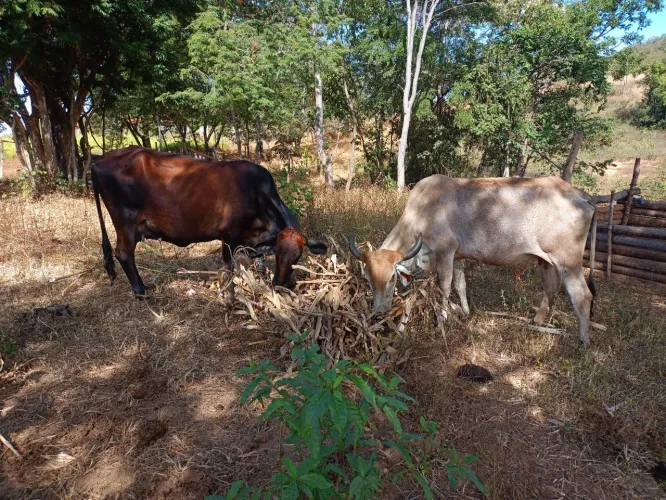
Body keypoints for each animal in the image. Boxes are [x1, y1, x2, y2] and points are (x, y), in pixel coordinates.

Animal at [91, 146, 326, 297]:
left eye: (298, 256)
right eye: (278, 254)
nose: (280, 283)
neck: (257, 193)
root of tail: (100, 160)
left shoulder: (254, 239)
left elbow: (259, 263)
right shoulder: (229, 234)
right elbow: (228, 266)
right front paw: (229, 293)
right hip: (125, 221)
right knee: (124, 253)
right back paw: (141, 292)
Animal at [348, 175, 598, 345]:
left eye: (391, 278)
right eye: (368, 278)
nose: (379, 311)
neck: (421, 213)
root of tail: (581, 195)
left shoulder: (445, 253)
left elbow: (445, 287)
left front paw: (441, 322)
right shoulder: (458, 256)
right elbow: (461, 284)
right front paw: (465, 312)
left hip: (568, 263)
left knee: (582, 296)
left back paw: (583, 340)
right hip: (546, 261)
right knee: (551, 289)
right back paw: (537, 321)